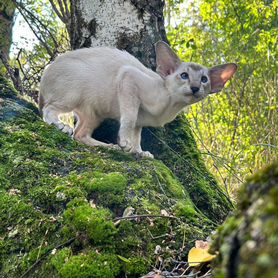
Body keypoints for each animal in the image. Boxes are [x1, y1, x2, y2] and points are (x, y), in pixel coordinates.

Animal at [38, 42, 237, 157]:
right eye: (184, 75)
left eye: (204, 80)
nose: (195, 87)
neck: (171, 106)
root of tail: (47, 69)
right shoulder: (129, 78)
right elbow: (129, 119)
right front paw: (125, 142)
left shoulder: (140, 121)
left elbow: (138, 136)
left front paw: (139, 152)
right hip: (72, 95)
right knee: (48, 110)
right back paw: (61, 126)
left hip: (94, 114)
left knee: (80, 135)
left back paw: (109, 147)